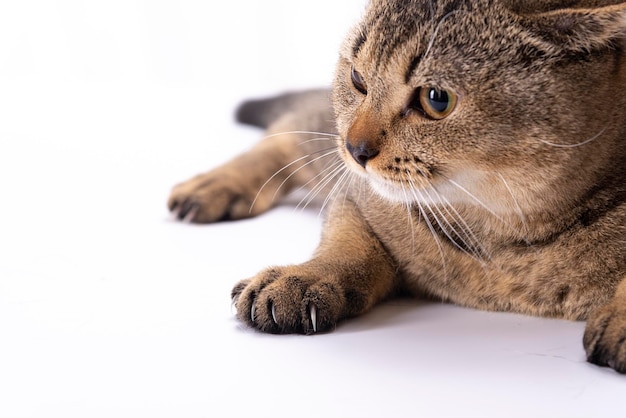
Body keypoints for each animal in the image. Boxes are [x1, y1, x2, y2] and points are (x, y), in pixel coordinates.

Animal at [167, 0, 624, 372]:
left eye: (436, 99)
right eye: (357, 78)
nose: (357, 149)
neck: (507, 239)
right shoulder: (357, 195)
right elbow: (349, 242)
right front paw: (306, 277)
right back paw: (213, 185)